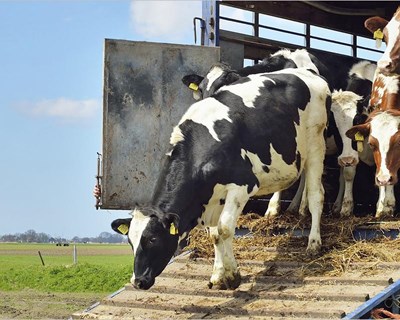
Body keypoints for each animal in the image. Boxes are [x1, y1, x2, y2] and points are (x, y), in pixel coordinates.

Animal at [111, 67, 330, 290]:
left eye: (153, 239)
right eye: (130, 242)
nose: (137, 281)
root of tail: (306, 72)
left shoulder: (242, 185)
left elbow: (224, 229)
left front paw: (233, 276)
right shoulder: (213, 197)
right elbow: (215, 234)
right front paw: (218, 275)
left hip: (316, 144)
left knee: (316, 195)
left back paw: (313, 243)